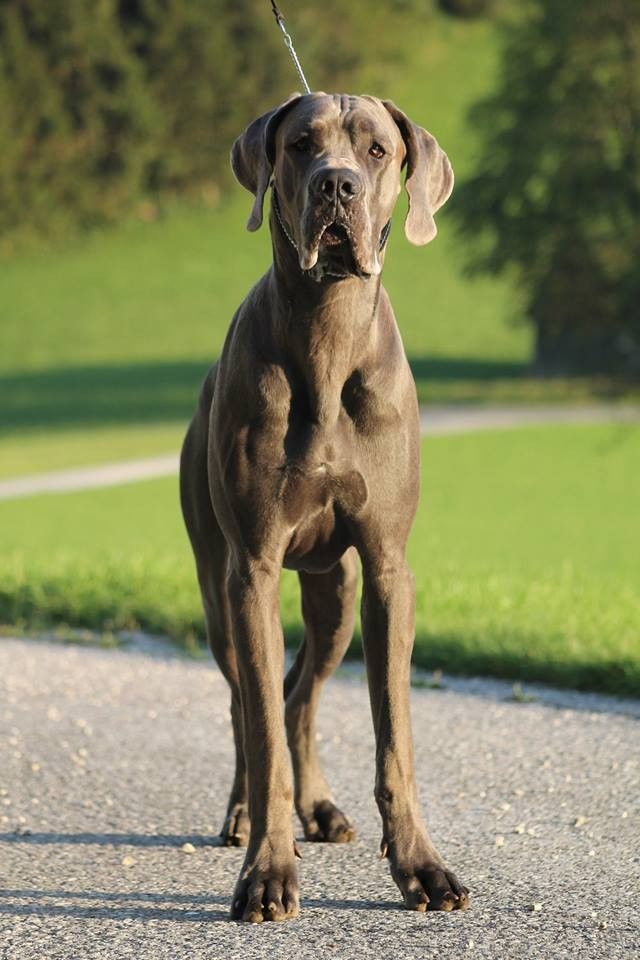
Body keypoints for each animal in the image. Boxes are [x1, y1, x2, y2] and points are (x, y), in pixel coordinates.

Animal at [180, 92, 468, 922]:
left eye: (376, 150)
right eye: (301, 145)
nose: (335, 185)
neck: (327, 331)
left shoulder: (386, 568)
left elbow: (393, 734)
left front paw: (421, 868)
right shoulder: (251, 566)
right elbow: (260, 728)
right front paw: (267, 871)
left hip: (333, 590)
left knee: (300, 696)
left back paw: (319, 807)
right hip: (219, 587)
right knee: (252, 703)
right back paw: (244, 813)